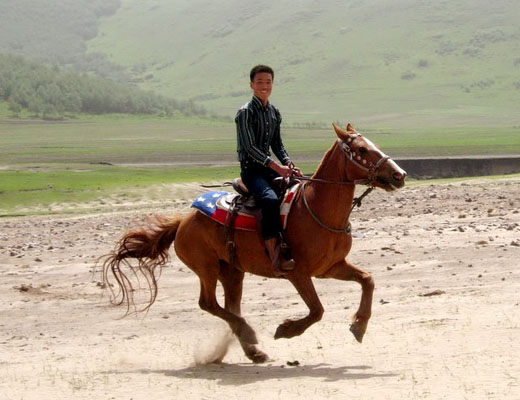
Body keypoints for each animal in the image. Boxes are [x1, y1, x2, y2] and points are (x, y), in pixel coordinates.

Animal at [102, 122, 406, 362]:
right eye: (363, 150)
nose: (399, 174)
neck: (316, 209)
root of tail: (183, 221)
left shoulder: (331, 267)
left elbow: (367, 281)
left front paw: (359, 327)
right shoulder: (298, 273)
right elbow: (317, 310)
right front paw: (286, 330)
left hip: (232, 272)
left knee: (229, 307)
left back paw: (252, 350)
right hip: (206, 268)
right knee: (208, 304)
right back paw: (249, 334)